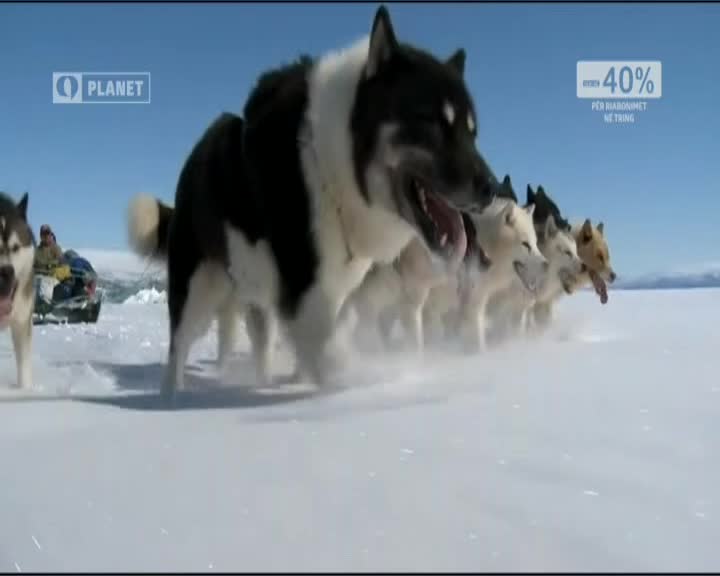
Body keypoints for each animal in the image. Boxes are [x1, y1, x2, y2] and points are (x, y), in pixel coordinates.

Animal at [126, 5, 496, 400]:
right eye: (431, 122)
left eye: (471, 133)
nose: (490, 189)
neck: (331, 165)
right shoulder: (305, 289)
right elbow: (330, 354)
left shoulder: (334, 292)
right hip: (196, 286)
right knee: (178, 346)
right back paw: (171, 399)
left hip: (256, 296)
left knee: (260, 343)